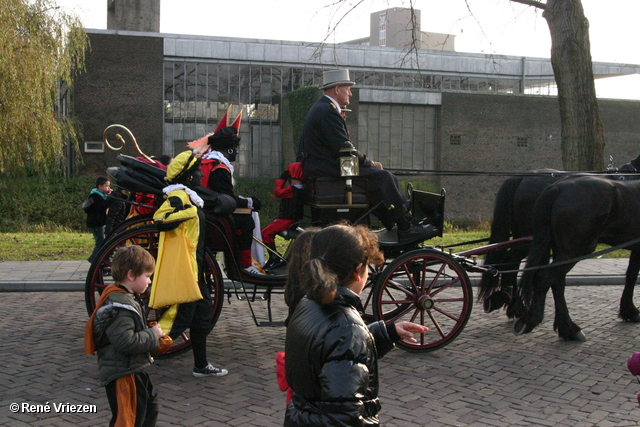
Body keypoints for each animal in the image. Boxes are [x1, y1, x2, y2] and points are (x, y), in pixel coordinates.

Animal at [512, 176, 640, 342]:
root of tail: (558, 187)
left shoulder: (637, 247)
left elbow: (631, 275)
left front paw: (629, 310)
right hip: (573, 251)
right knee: (544, 278)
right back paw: (534, 319)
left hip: (562, 251)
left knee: (556, 282)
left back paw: (568, 328)